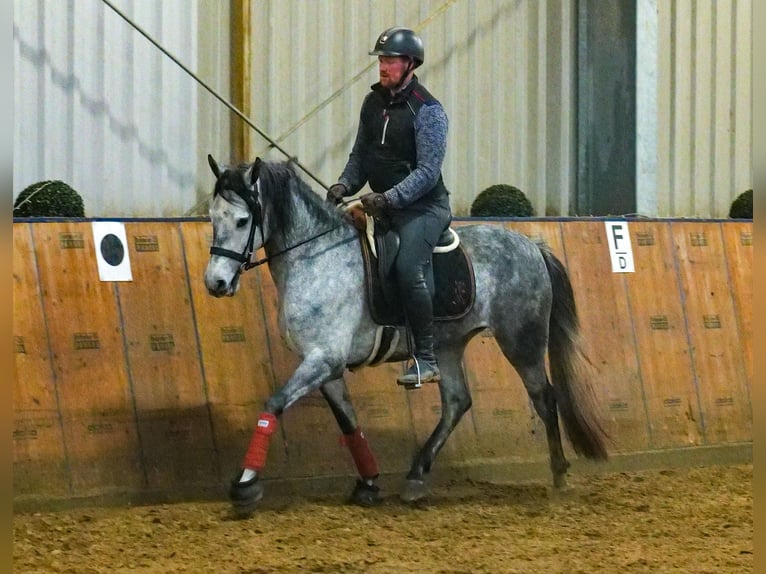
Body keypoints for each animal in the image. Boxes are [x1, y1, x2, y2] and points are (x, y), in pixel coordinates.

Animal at [204, 156, 612, 516]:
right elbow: (349, 422)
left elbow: (273, 404)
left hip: (521, 341)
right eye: (212, 217)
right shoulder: (325, 366)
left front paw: (245, 486)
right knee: (457, 402)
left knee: (544, 398)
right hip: (447, 347)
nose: (216, 283)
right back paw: (416, 476)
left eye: (242, 220)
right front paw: (368, 483)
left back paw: (559, 476)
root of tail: (531, 246)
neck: (315, 257)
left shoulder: (323, 358)